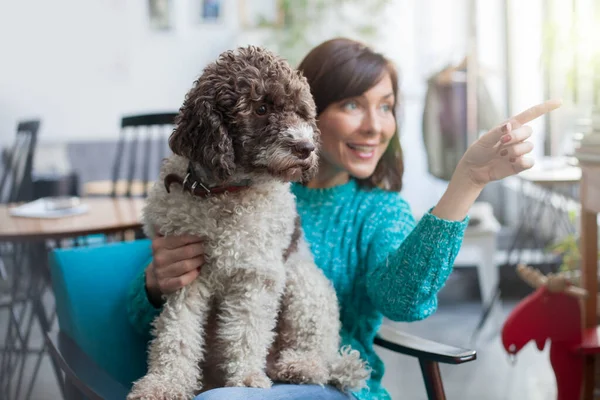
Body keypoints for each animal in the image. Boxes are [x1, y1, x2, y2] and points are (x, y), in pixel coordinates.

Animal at [126, 44, 368, 400]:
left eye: (301, 112)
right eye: (261, 108)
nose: (307, 148)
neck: (222, 192)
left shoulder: (255, 275)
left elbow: (246, 332)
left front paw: (246, 379)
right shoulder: (185, 276)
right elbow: (176, 333)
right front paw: (164, 383)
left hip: (305, 284)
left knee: (316, 349)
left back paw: (298, 366)